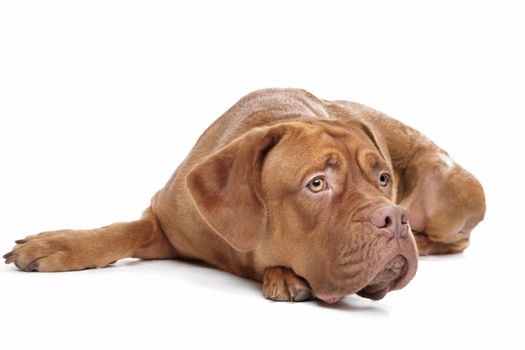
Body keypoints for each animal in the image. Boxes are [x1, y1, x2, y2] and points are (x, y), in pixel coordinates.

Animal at [2, 89, 484, 302]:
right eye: (316, 183)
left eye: (383, 179)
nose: (394, 218)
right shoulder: (165, 222)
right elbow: (119, 231)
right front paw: (58, 244)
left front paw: (284, 276)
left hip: (452, 186)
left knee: (458, 239)